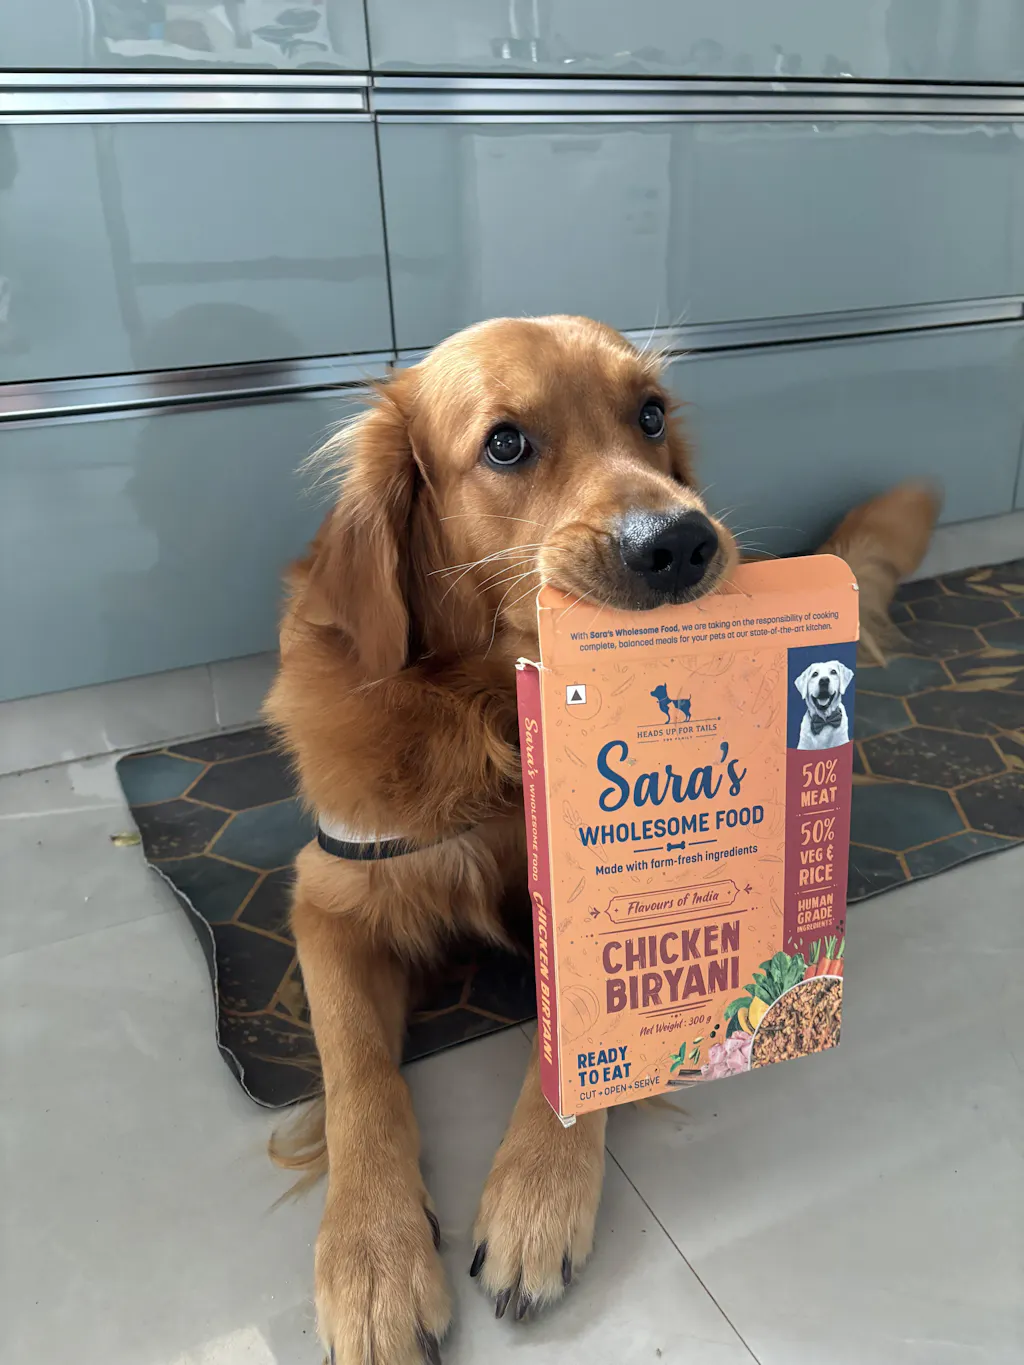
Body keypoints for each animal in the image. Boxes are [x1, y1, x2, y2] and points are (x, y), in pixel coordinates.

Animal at [264, 315, 939, 1364]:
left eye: (651, 416)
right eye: (505, 442)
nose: (684, 543)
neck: (499, 726)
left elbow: (582, 1041)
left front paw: (537, 1195)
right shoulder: (331, 899)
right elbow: (358, 1078)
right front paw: (372, 1259)